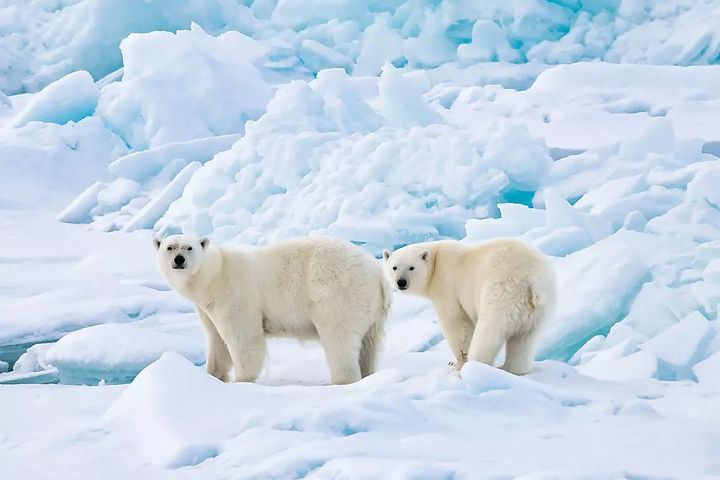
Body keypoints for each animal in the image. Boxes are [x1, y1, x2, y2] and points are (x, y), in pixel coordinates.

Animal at [155, 234, 390, 384]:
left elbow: (244, 338)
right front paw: (213, 375)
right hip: (373, 312)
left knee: (338, 338)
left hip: (338, 293)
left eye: (189, 247)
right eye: (169, 247)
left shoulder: (236, 295)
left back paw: (343, 379)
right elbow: (217, 342)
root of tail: (378, 275)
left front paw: (243, 380)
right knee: (369, 345)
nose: (179, 260)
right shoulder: (207, 308)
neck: (214, 274)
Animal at [382, 240, 556, 376]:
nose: (401, 282)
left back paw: (476, 367)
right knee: (524, 340)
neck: (436, 261)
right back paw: (512, 369)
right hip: (537, 310)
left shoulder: (447, 288)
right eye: (394, 267)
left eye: (411, 267)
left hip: (502, 293)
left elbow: (457, 325)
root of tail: (533, 281)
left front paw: (457, 364)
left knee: (488, 332)